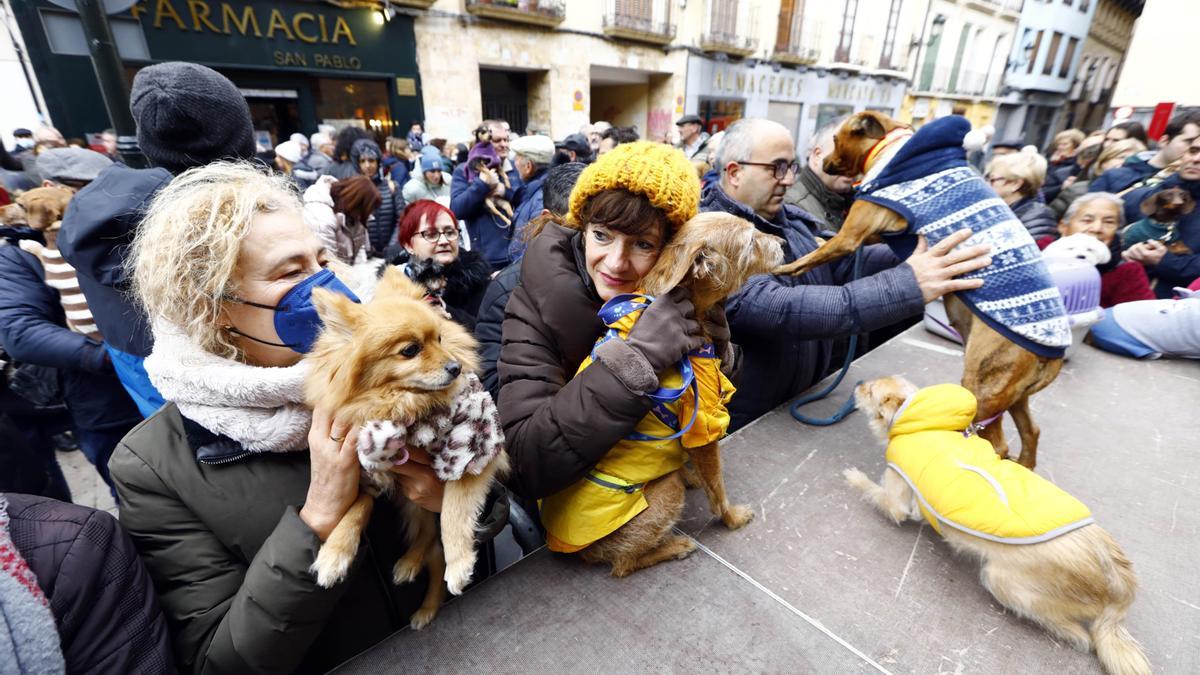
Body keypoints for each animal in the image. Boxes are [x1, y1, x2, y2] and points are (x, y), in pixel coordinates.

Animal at [304, 266, 506, 624]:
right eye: (410, 350)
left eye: (439, 339)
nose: (455, 367)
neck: (404, 406)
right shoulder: (369, 471)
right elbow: (356, 506)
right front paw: (334, 552)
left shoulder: (475, 451)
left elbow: (452, 511)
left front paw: (459, 563)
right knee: (426, 540)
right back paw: (411, 564)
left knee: (433, 544)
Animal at [844, 372, 1152, 672]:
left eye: (870, 391)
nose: (858, 383)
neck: (922, 418)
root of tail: (1119, 579)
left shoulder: (897, 498)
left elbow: (876, 493)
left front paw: (854, 477)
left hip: (1002, 581)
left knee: (1082, 636)